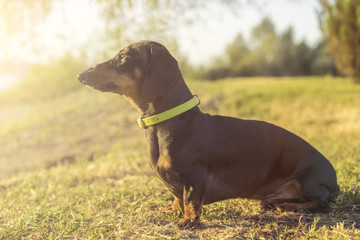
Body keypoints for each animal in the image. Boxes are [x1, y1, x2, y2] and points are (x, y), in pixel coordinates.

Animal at [77, 40, 338, 228]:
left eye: (123, 56)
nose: (81, 75)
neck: (168, 122)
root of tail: (334, 178)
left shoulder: (195, 174)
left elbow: (190, 198)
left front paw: (189, 221)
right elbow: (178, 197)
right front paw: (172, 210)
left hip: (309, 182)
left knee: (321, 204)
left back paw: (290, 207)